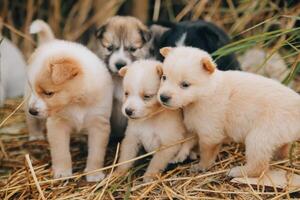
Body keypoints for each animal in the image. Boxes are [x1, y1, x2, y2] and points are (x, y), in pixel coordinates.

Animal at [26, 19, 113, 181]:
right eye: (33, 88)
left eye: (49, 93)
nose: (32, 110)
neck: (77, 101)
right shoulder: (57, 125)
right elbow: (61, 152)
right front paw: (62, 172)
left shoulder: (99, 125)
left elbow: (96, 153)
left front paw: (94, 174)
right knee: (32, 122)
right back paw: (35, 135)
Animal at [157, 46, 300, 177]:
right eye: (164, 77)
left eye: (185, 85)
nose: (163, 97)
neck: (205, 93)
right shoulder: (195, 126)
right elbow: (187, 142)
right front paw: (179, 156)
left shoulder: (210, 133)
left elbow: (206, 153)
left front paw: (201, 166)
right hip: (277, 135)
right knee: (283, 148)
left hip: (259, 137)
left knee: (259, 167)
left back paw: (237, 171)